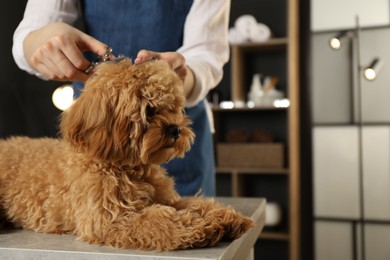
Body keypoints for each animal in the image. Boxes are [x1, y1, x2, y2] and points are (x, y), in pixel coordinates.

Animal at [0, 59, 254, 250]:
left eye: (173, 107)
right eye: (149, 110)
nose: (175, 129)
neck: (123, 166)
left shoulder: (168, 199)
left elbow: (195, 203)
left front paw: (226, 217)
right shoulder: (108, 220)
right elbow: (157, 220)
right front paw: (201, 227)